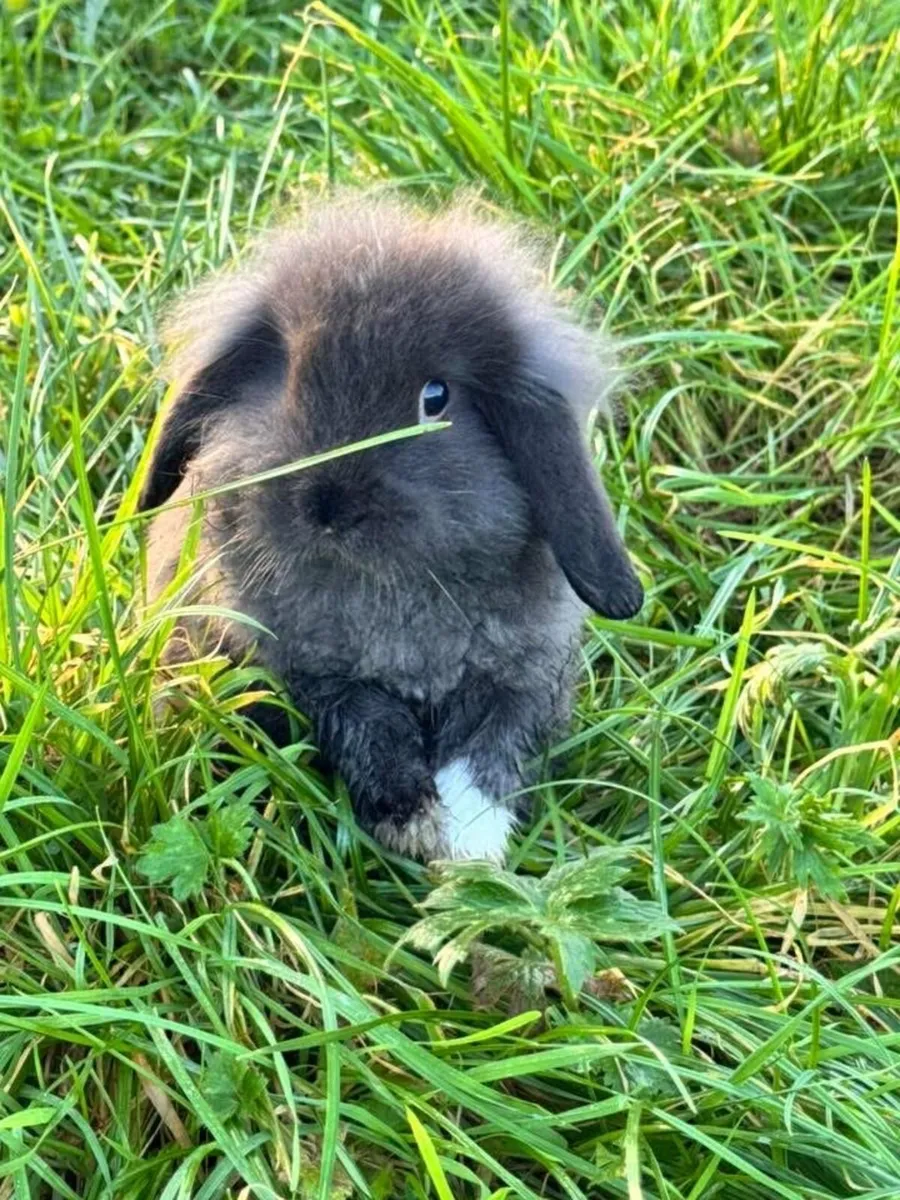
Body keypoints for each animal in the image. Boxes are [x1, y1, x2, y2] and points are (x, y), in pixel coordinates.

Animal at [140, 193, 643, 863]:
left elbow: (493, 746)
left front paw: (471, 842)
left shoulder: (524, 677)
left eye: (436, 398)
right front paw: (416, 821)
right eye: (287, 378)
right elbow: (368, 725)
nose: (326, 506)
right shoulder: (302, 676)